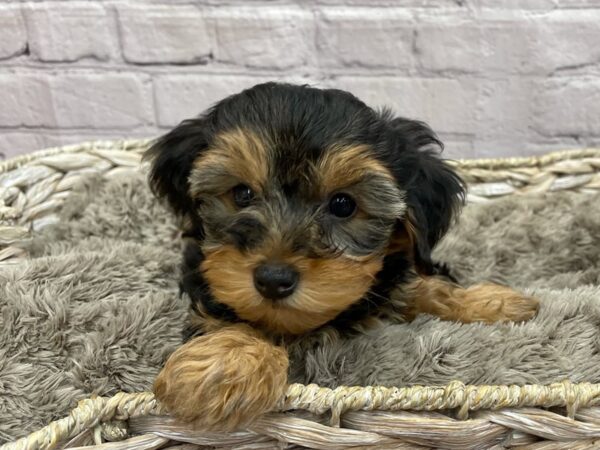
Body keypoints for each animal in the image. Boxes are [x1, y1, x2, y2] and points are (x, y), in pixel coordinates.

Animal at [146, 82, 540, 430]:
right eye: (242, 194)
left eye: (342, 205)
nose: (273, 279)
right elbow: (237, 318)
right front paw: (225, 369)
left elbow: (423, 284)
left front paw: (492, 303)